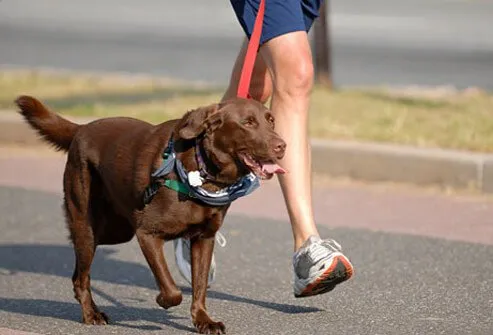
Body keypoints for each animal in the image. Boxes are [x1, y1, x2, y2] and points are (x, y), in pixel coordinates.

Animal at [15, 96, 284, 334]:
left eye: (271, 120)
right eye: (248, 122)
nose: (282, 145)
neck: (203, 170)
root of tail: (82, 129)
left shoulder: (204, 239)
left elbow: (199, 287)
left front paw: (203, 321)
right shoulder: (147, 233)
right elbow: (172, 289)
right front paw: (163, 301)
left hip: (116, 231)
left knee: (77, 274)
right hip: (88, 226)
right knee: (81, 276)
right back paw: (91, 314)